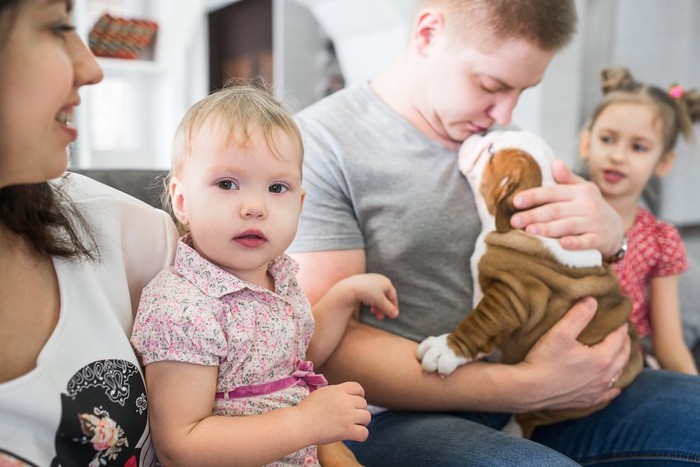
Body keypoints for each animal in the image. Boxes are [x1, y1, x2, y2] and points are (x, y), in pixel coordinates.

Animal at [412, 129, 644, 438]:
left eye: (490, 151)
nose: (482, 131)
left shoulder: (514, 296)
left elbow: (480, 321)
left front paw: (447, 349)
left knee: (534, 414)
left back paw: (514, 428)